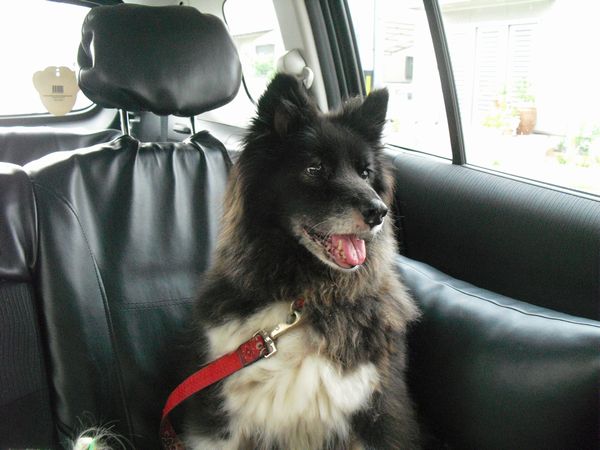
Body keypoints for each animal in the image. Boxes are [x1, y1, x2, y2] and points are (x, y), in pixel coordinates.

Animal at [179, 73, 421, 450]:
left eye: (365, 173)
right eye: (315, 168)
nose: (378, 212)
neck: (308, 293)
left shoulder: (378, 411)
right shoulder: (220, 418)